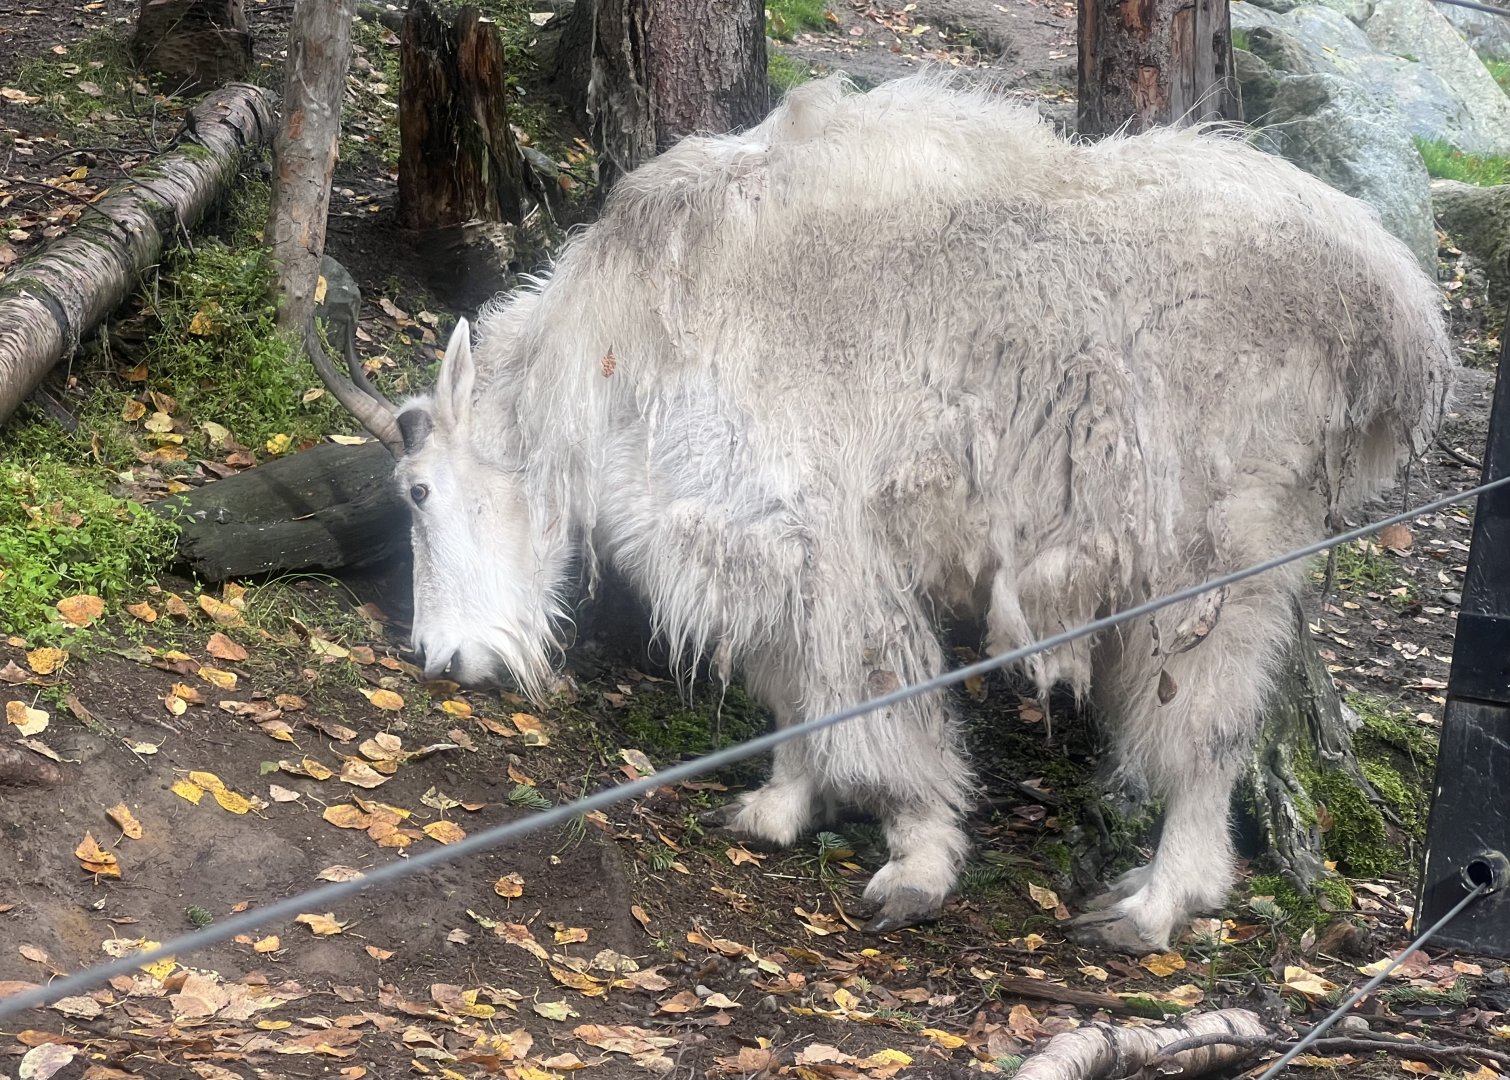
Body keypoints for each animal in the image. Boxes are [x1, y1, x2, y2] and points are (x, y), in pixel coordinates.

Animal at [314, 73, 1453, 950]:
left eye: (419, 492)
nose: (445, 658)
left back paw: (1156, 904)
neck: (618, 355)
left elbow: (866, 697)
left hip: (1225, 550)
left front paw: (917, 860)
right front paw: (774, 809)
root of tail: (1398, 311)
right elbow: (792, 692)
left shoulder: (829, 548)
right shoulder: (763, 548)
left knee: (1206, 728)